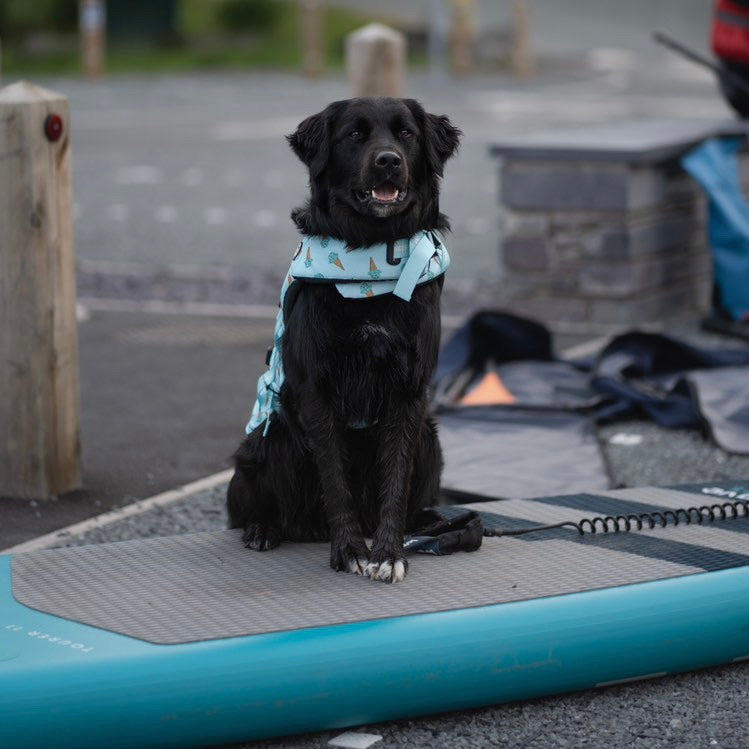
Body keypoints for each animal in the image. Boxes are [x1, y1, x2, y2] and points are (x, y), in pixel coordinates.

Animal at [226, 95, 462, 584]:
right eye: (354, 134)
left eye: (405, 133)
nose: (388, 161)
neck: (372, 254)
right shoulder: (318, 390)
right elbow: (334, 479)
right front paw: (350, 550)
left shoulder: (408, 392)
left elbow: (395, 478)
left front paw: (388, 553)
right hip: (266, 439)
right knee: (248, 511)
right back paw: (263, 529)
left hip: (430, 439)